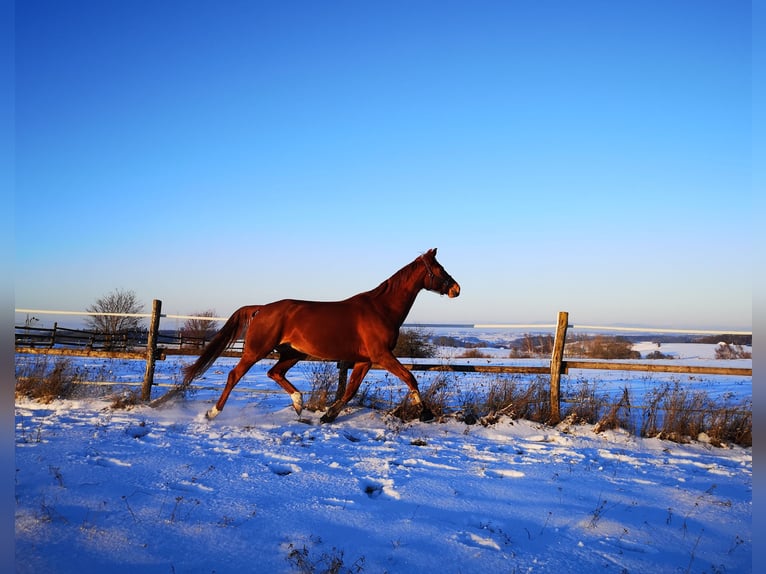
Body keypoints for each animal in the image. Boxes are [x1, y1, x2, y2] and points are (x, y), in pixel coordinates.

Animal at [182, 248, 460, 423]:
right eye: (439, 268)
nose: (456, 289)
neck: (381, 308)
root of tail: (262, 308)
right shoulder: (382, 355)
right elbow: (409, 377)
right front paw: (425, 414)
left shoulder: (365, 360)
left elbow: (349, 391)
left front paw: (328, 416)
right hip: (256, 350)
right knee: (235, 375)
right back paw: (213, 413)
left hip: (293, 353)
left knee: (274, 373)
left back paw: (298, 402)